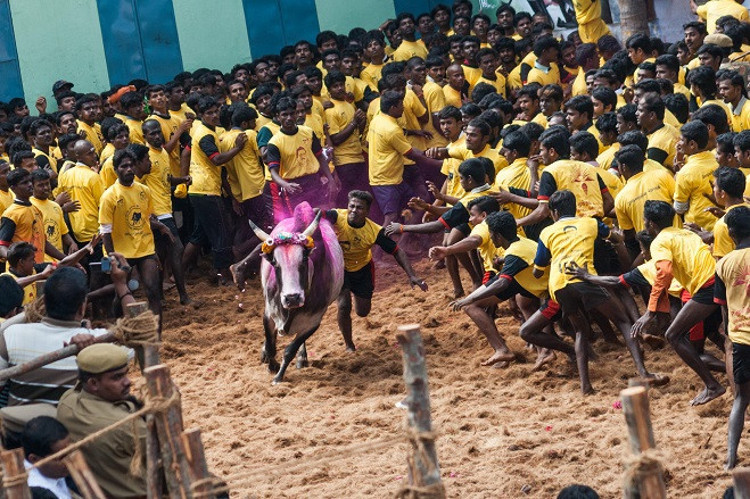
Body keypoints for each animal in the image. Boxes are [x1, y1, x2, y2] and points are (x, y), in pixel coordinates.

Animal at [248, 202, 344, 384]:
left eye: (304, 259)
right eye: (274, 263)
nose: (292, 298)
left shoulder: (313, 322)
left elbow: (290, 350)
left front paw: (279, 376)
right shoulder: (268, 314)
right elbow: (271, 345)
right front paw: (272, 364)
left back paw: (302, 357)